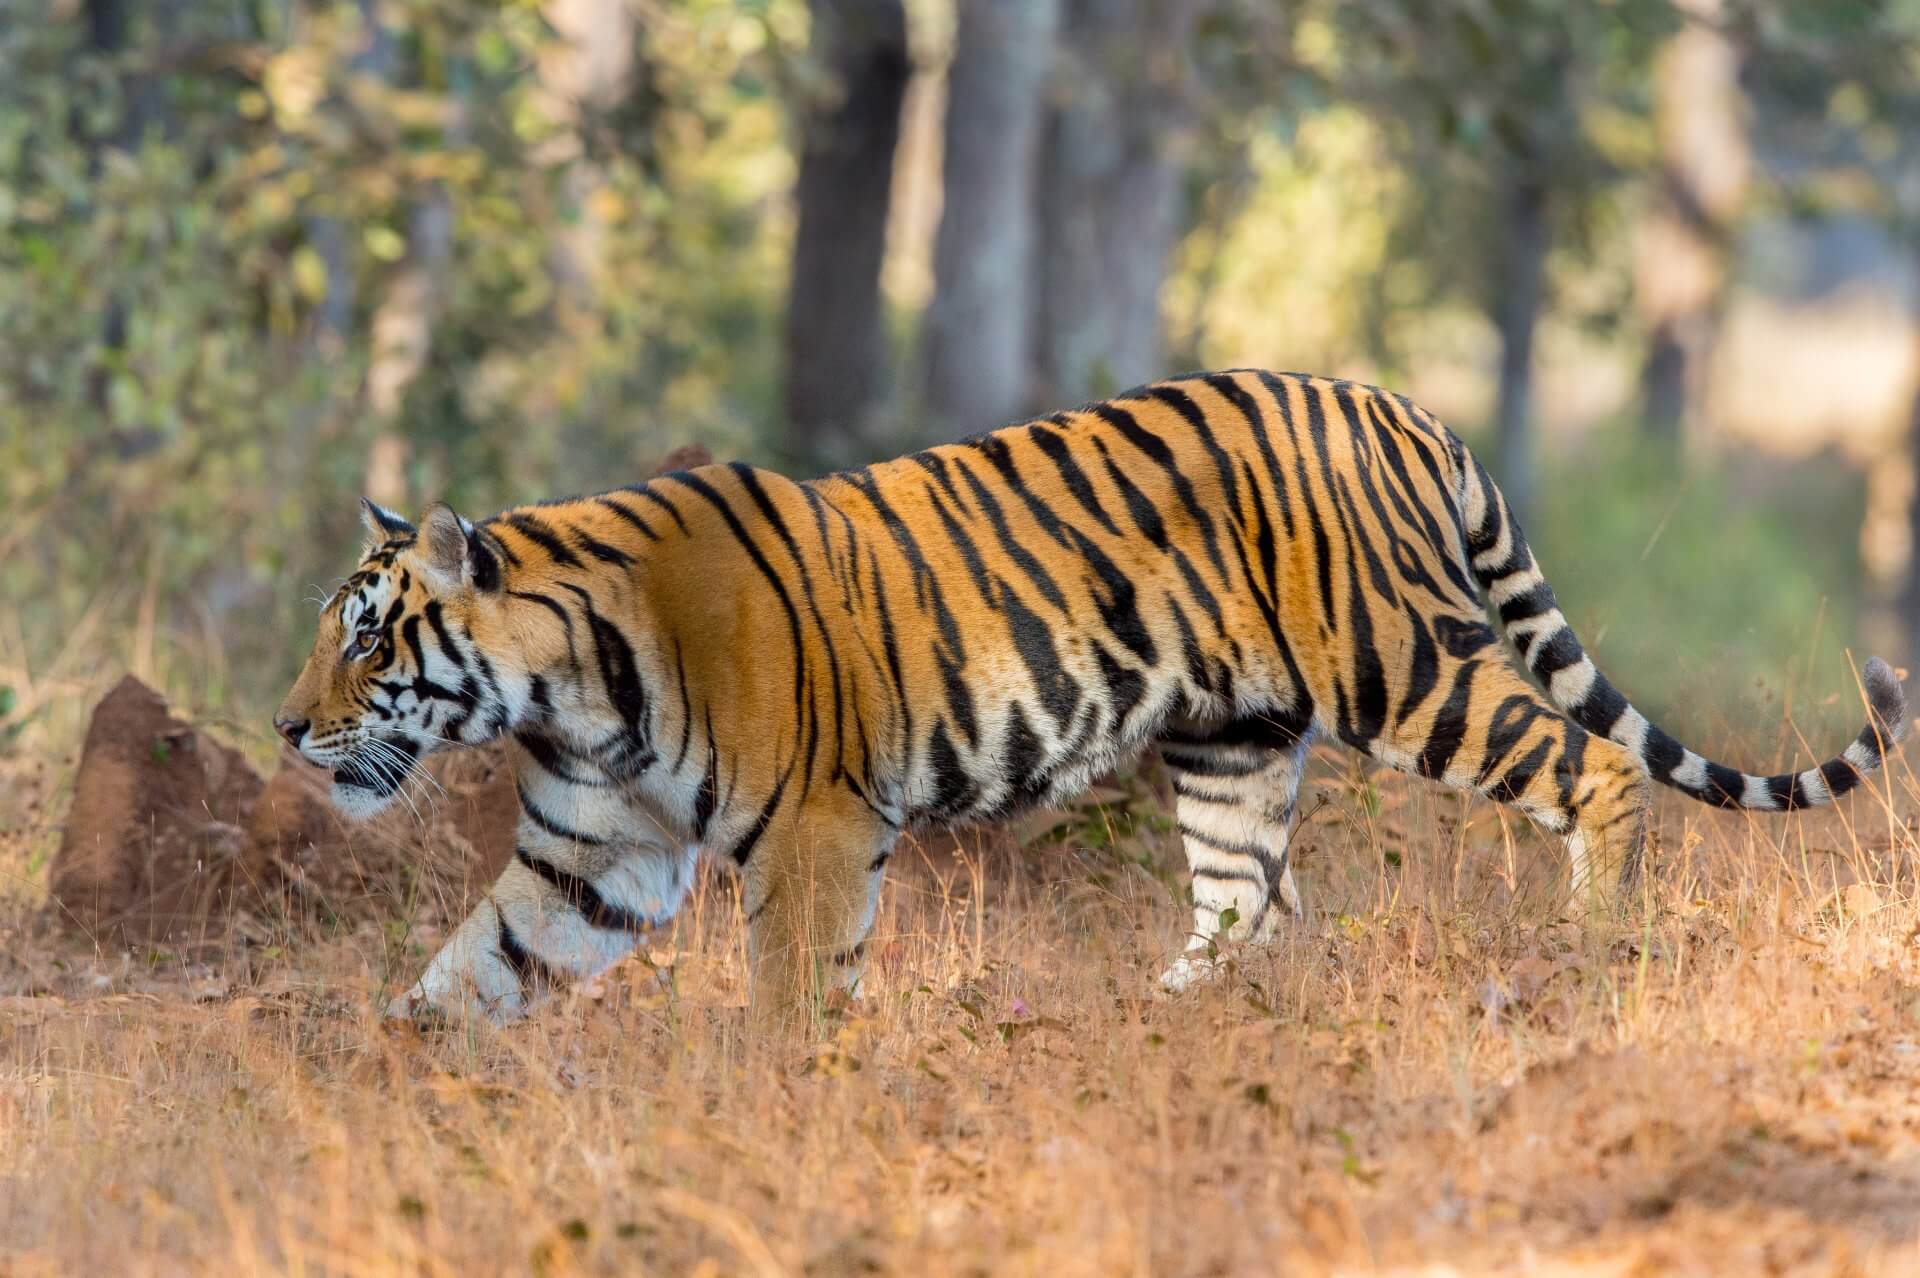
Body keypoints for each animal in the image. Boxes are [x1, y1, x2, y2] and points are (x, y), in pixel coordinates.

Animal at [278, 366, 1912, 1013]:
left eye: (364, 638)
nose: (288, 728)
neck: (564, 687)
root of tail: (1401, 402)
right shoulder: (591, 851)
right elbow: (469, 972)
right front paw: (389, 1086)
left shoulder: (813, 829)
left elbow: (791, 993)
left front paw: (771, 1095)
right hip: (1232, 739)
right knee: (1249, 905)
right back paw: (1174, 1017)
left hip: (1403, 665)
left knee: (1591, 767)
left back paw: (1590, 954)